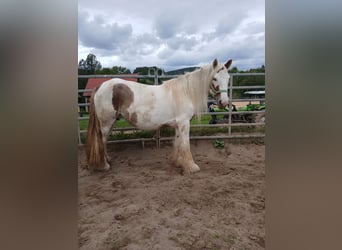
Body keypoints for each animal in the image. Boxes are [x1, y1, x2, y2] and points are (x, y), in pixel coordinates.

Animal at [86, 58, 232, 174]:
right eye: (214, 78)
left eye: (228, 78)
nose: (224, 102)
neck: (185, 92)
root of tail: (100, 86)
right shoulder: (184, 123)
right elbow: (185, 144)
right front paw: (192, 167)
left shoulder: (178, 125)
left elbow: (178, 143)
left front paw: (178, 163)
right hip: (106, 123)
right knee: (101, 141)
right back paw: (103, 165)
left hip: (111, 122)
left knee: (104, 141)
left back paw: (107, 160)